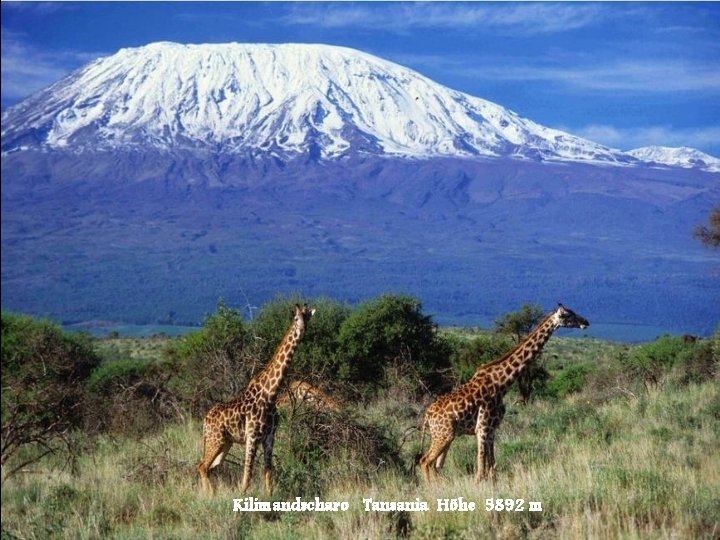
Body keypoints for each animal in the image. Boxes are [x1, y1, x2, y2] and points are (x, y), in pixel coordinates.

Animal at [195, 304, 314, 494]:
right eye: (296, 319)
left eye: (307, 318)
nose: (302, 329)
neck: (270, 393)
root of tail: (205, 420)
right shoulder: (251, 436)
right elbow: (248, 474)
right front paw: (242, 498)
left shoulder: (269, 437)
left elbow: (268, 472)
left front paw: (270, 496)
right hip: (215, 440)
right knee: (202, 466)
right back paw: (209, 496)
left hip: (225, 443)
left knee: (210, 467)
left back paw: (211, 495)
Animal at [420, 304, 588, 486]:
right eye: (567, 315)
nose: (585, 322)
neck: (502, 383)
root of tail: (427, 415)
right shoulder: (482, 428)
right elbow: (481, 470)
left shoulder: (492, 429)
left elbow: (492, 468)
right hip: (444, 435)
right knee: (425, 461)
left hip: (446, 436)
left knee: (436, 466)